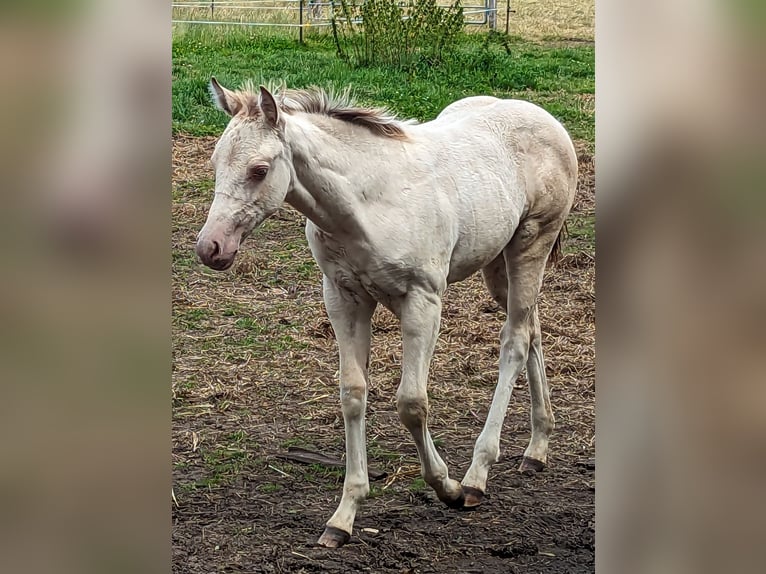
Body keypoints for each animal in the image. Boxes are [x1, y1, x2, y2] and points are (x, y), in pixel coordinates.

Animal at [196, 78, 578, 548]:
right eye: (215, 162)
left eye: (260, 170)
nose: (210, 247)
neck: (367, 203)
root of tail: (544, 117)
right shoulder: (343, 298)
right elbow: (352, 394)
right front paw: (343, 516)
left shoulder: (423, 301)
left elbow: (411, 402)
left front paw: (447, 487)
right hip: (497, 260)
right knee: (533, 328)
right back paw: (537, 448)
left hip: (531, 244)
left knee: (515, 341)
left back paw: (477, 474)